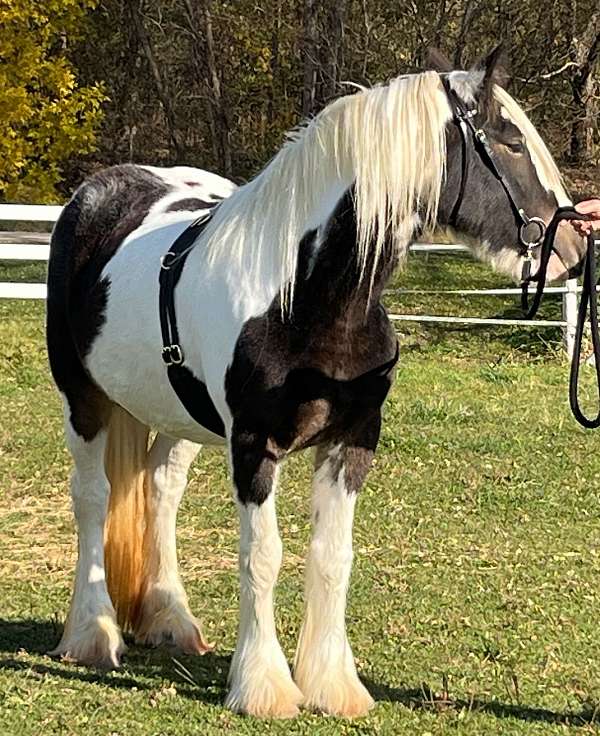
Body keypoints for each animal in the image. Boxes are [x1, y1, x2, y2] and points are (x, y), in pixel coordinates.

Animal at [44, 47, 584, 720]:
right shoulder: (253, 447)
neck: (307, 299)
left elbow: (332, 557)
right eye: (510, 140)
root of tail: (95, 195)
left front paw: (331, 684)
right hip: (84, 400)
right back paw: (92, 633)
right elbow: (263, 557)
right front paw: (265, 687)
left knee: (161, 493)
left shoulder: (352, 440)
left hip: (177, 417)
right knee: (93, 499)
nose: (574, 245)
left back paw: (171, 620)